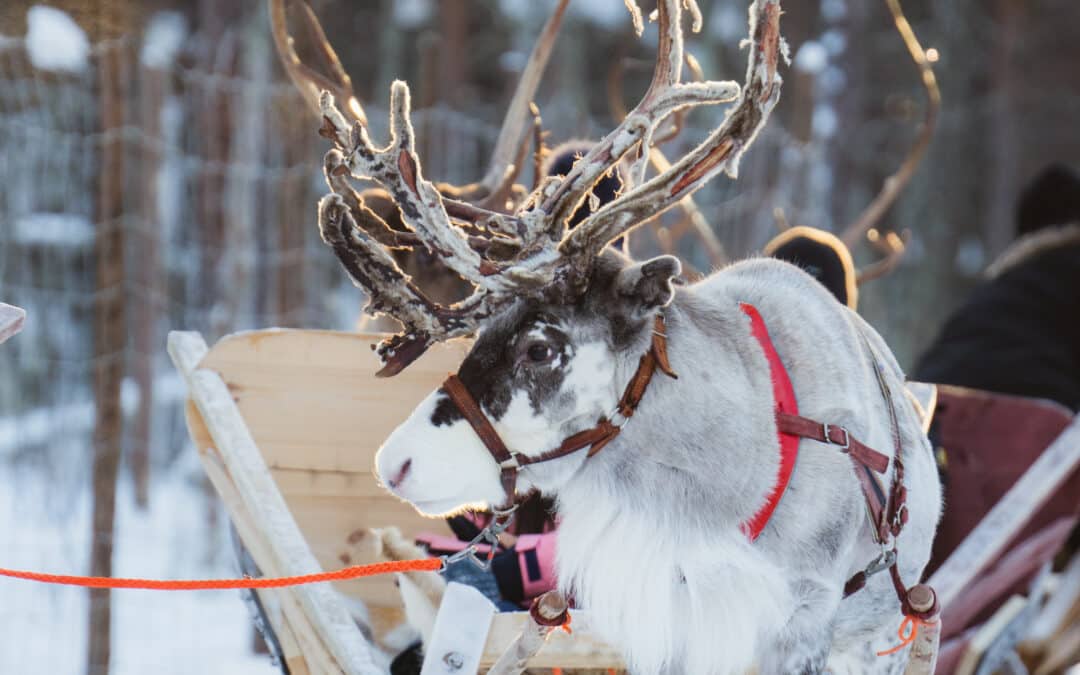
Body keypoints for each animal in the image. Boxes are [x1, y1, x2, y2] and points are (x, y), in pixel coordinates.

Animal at [312, 0, 942, 672]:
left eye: (540, 348)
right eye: (479, 334)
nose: (393, 464)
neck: (728, 480)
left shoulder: (800, 620)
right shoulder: (668, 618)